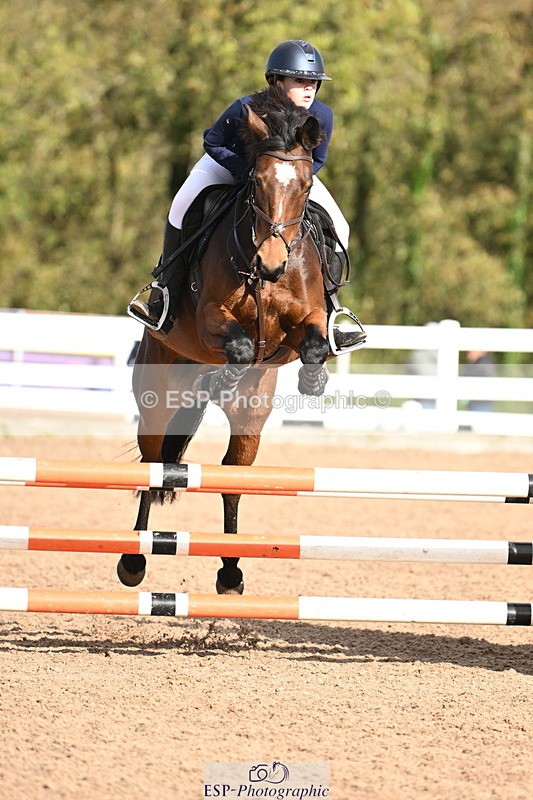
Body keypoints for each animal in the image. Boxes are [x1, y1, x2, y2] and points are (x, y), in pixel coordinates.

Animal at [120, 86, 338, 594]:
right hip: (156, 395)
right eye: (255, 183)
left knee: (233, 476)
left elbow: (314, 343)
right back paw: (133, 561)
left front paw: (313, 382)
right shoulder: (208, 318)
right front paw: (231, 368)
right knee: (153, 462)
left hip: (250, 418)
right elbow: (237, 344)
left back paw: (231, 571)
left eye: (305, 186)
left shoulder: (307, 318)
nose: (272, 264)